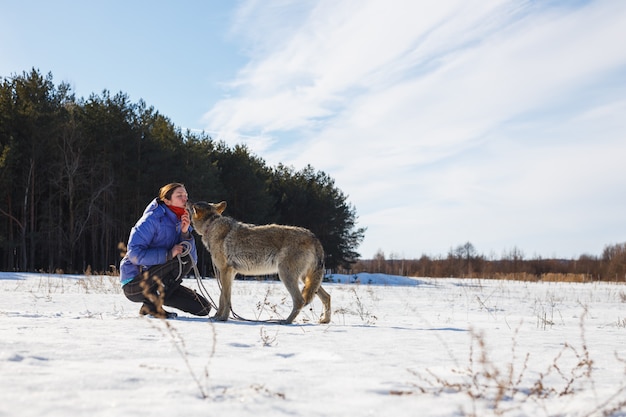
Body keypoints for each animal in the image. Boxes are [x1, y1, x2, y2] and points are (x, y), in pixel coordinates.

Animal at [186, 200, 330, 324]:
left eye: (192, 204)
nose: (187, 200)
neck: (211, 224)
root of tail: (314, 237)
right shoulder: (230, 273)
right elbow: (223, 297)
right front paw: (217, 316)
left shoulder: (224, 271)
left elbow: (225, 299)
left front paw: (222, 318)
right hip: (306, 279)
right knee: (326, 296)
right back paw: (325, 320)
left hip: (286, 276)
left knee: (300, 300)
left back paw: (286, 321)